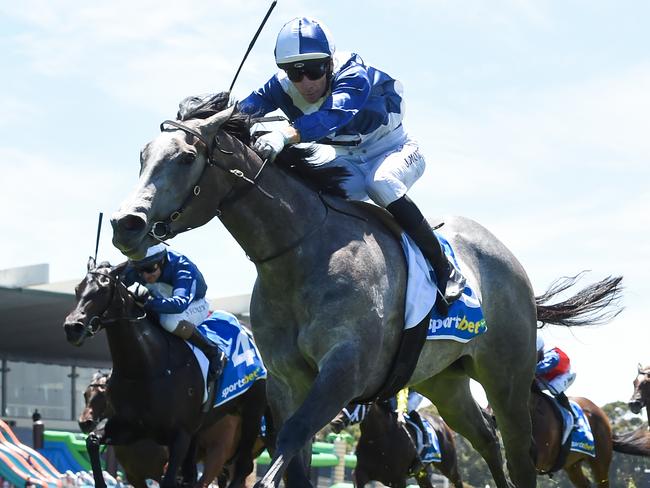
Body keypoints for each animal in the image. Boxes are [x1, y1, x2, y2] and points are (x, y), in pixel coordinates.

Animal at [110, 96, 616, 488]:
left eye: (185, 157)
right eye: (142, 155)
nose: (125, 225)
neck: (301, 255)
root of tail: (506, 258)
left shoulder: (344, 369)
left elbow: (291, 439)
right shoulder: (286, 379)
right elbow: (295, 460)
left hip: (506, 377)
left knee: (518, 452)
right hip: (445, 380)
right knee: (487, 441)